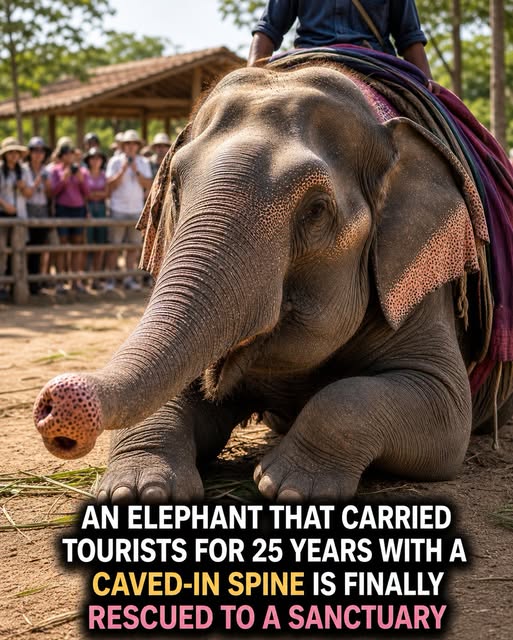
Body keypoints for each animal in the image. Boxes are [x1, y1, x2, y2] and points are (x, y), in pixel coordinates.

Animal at [34, 62, 513, 503]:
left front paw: (289, 487)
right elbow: (172, 388)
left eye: (316, 210)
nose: (59, 399)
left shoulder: (421, 285)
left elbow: (442, 412)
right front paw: (137, 493)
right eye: (175, 186)